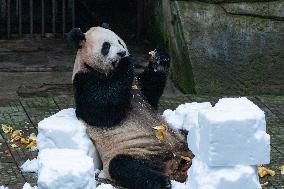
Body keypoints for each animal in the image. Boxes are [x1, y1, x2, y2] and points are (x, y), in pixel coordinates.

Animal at [67, 25, 192, 189]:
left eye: (120, 41)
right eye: (106, 46)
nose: (122, 53)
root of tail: (176, 161)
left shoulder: (137, 87)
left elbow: (150, 93)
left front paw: (159, 59)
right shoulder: (84, 81)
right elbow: (101, 111)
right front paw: (126, 62)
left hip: (177, 136)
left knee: (187, 133)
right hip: (137, 151)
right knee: (126, 167)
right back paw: (162, 182)